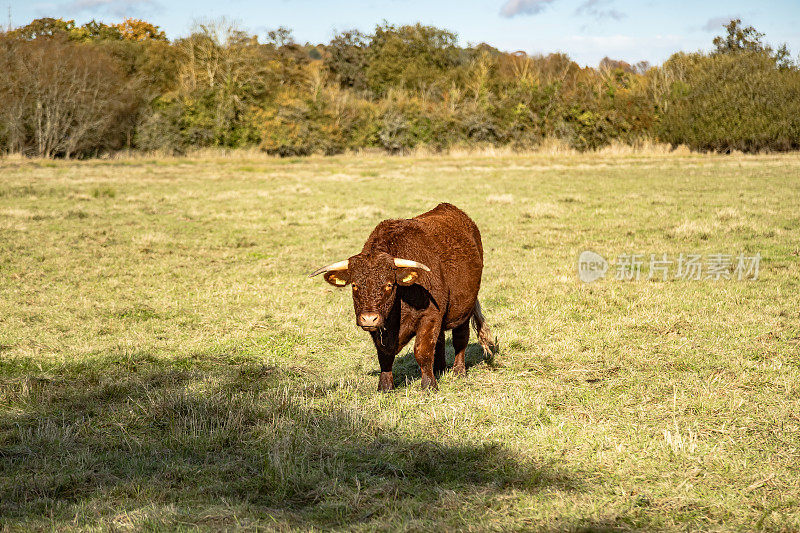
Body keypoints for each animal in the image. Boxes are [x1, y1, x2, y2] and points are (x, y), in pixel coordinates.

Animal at [308, 202, 490, 388]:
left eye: (389, 284)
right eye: (354, 285)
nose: (369, 318)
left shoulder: (430, 315)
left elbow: (423, 351)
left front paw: (429, 385)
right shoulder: (382, 329)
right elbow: (384, 356)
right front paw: (385, 386)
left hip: (464, 309)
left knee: (460, 338)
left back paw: (458, 371)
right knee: (439, 340)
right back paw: (439, 369)